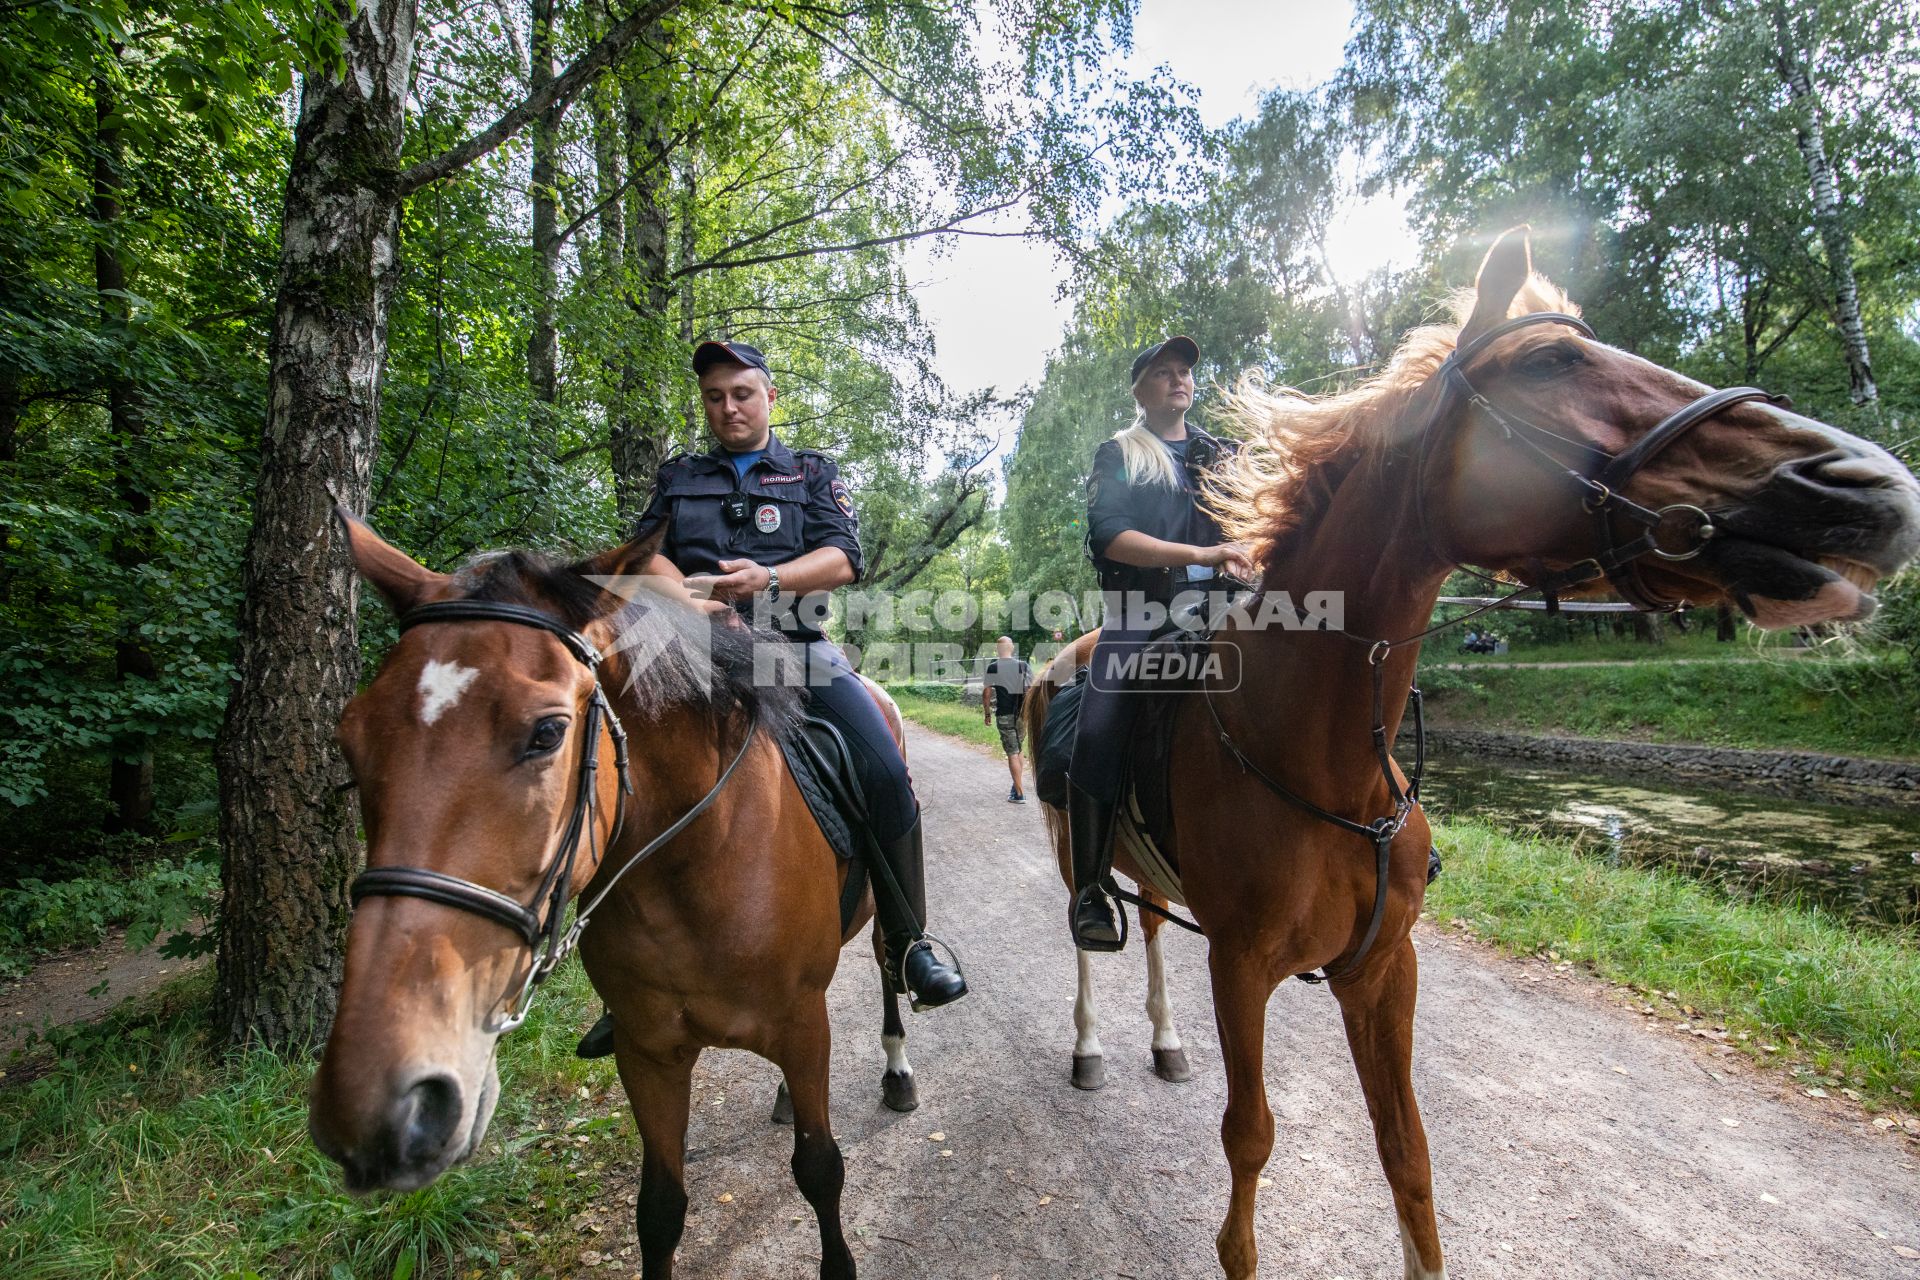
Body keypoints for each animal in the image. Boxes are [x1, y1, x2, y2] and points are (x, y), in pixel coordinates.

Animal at [307, 514, 921, 1274]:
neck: (694, 865)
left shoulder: (803, 1028)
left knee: (890, 968)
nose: (380, 1104)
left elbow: (819, 1169)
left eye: (548, 731)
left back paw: (898, 1066)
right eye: (352, 738)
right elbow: (659, 1209)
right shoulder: (646, 1047)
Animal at [1029, 230, 1920, 1280]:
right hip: (1070, 849)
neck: (1331, 767)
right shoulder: (1241, 968)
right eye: (1550, 363)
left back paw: (1165, 1044)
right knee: (1090, 935)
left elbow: (1407, 1153)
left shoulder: (1385, 968)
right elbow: (1249, 1140)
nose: (1868, 486)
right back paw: (1090, 1044)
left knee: (1157, 927)